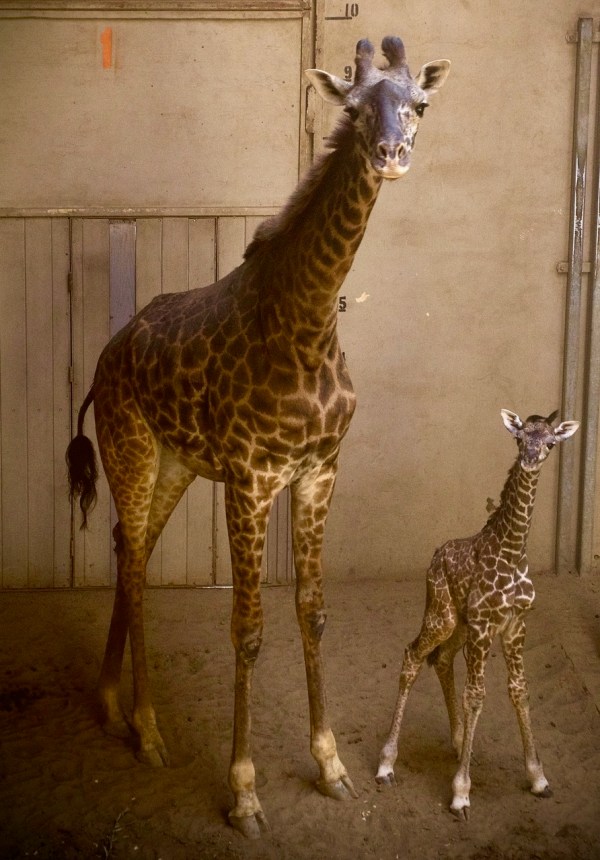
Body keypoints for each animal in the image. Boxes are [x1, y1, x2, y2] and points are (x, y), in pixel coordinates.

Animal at [66, 36, 450, 838]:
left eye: (419, 105)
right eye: (354, 108)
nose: (393, 154)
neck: (306, 325)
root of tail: (106, 358)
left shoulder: (320, 471)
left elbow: (314, 611)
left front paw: (331, 766)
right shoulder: (248, 479)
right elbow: (247, 629)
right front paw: (243, 793)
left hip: (174, 464)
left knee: (129, 550)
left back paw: (114, 706)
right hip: (130, 449)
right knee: (136, 561)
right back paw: (148, 731)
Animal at [376, 409, 579, 819]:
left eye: (551, 443)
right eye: (520, 438)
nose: (530, 459)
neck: (513, 552)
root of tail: (435, 555)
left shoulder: (515, 625)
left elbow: (519, 690)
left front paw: (538, 777)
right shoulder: (486, 627)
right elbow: (476, 695)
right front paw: (461, 792)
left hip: (459, 626)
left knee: (440, 660)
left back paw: (457, 742)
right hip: (442, 616)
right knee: (412, 656)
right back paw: (387, 763)